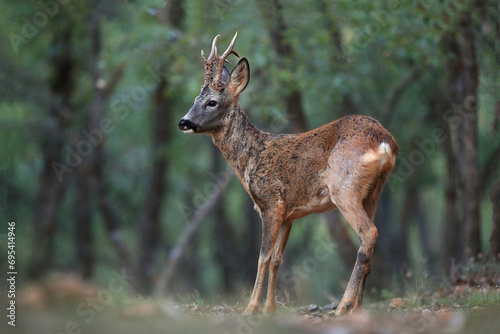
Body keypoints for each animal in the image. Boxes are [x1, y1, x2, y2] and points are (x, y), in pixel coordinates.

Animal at [179, 32, 398, 318]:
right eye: (195, 99)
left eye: (211, 102)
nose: (183, 122)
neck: (250, 157)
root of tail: (385, 141)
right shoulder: (289, 213)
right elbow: (276, 259)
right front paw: (269, 309)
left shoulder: (270, 202)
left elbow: (262, 257)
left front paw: (250, 308)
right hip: (373, 192)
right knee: (369, 241)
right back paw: (357, 308)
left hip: (344, 187)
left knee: (368, 233)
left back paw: (343, 306)